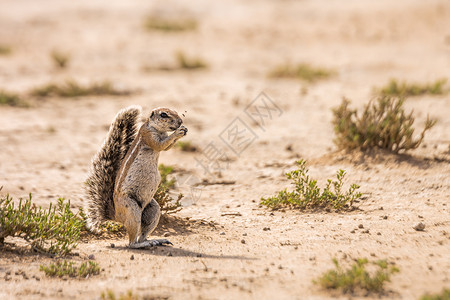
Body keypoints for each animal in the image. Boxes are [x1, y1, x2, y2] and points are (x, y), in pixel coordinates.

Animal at [84, 105, 186, 248]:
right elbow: (161, 145)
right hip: (132, 210)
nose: (180, 121)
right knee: (132, 242)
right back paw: (143, 244)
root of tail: (116, 216)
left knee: (142, 235)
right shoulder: (148, 135)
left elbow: (167, 147)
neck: (156, 128)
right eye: (164, 114)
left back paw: (155, 240)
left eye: (176, 112)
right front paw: (178, 132)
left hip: (153, 209)